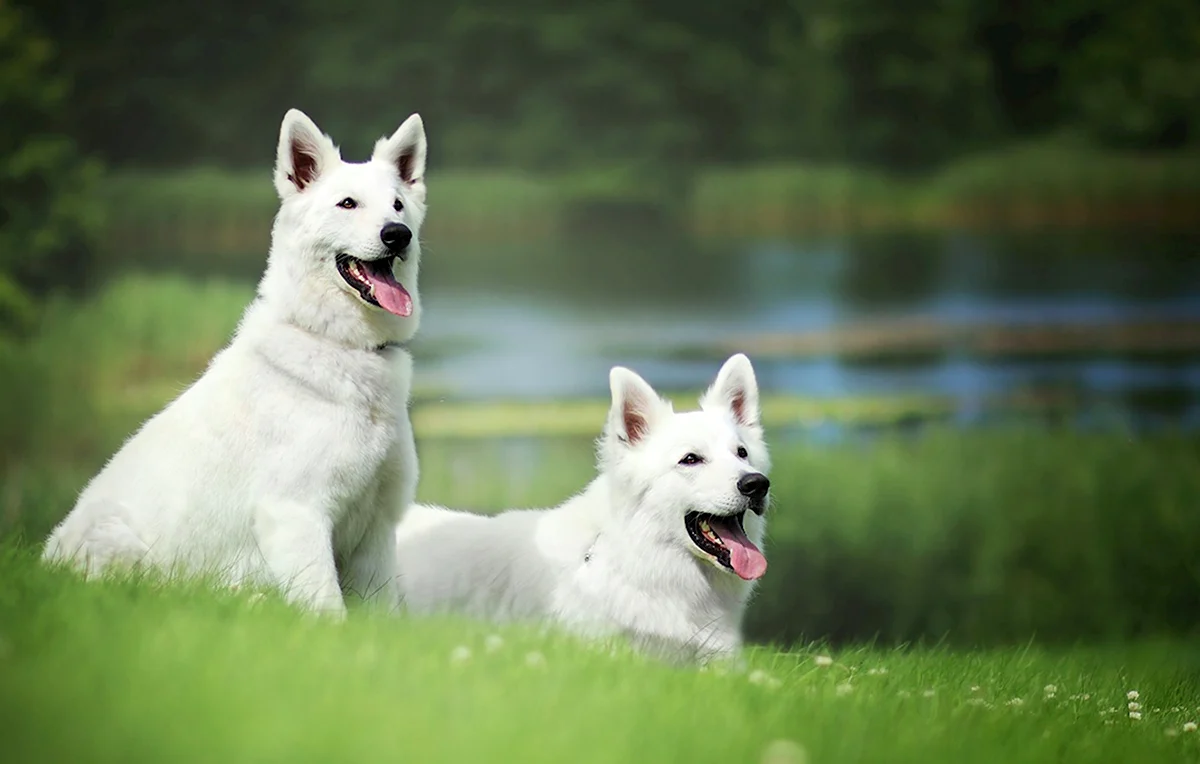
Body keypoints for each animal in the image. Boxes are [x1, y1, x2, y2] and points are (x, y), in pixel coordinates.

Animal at [46, 110, 432, 618]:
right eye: (347, 203)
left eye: (398, 205)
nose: (397, 234)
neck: (337, 342)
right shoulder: (296, 515)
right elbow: (330, 613)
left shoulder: (376, 531)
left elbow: (383, 613)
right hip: (121, 545)